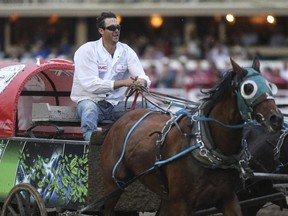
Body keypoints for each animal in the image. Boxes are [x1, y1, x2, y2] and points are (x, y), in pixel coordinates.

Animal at [100, 57, 282, 216]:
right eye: (248, 88)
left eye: (269, 85)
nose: (276, 118)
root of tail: (120, 120)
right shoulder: (180, 203)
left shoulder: (227, 198)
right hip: (113, 184)